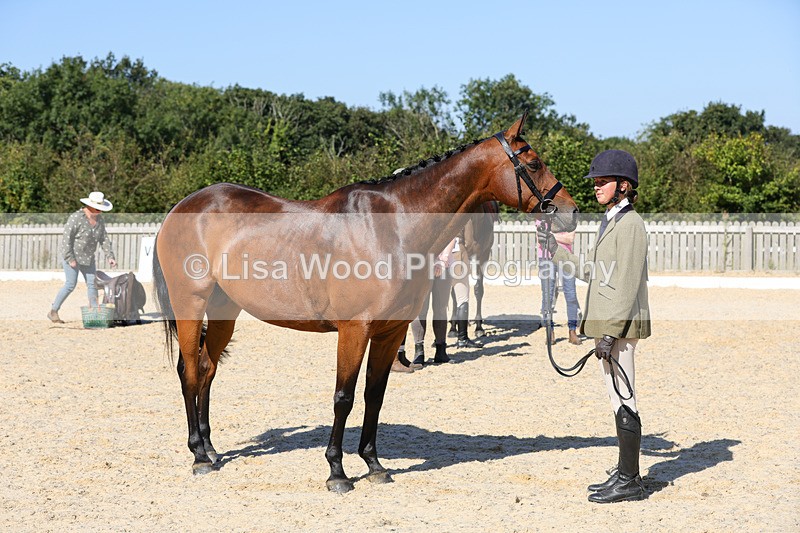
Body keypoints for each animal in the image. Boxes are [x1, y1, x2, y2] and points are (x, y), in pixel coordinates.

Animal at [152, 112, 578, 493]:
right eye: (534, 163)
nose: (571, 213)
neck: (392, 227)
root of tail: (180, 209)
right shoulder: (354, 330)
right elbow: (344, 397)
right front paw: (336, 472)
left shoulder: (390, 332)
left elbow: (375, 395)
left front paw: (374, 465)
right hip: (190, 305)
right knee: (190, 372)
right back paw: (198, 456)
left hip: (225, 310)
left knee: (206, 369)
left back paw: (211, 448)